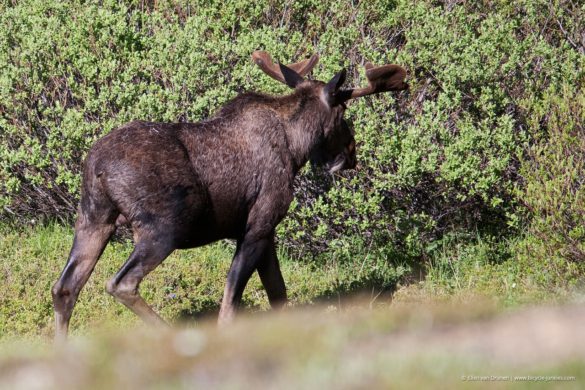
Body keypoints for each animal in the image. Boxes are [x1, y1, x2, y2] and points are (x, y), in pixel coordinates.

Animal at [51, 51, 406, 338]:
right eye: (343, 113)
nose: (352, 153)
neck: (296, 149)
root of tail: (96, 167)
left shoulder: (266, 232)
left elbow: (278, 292)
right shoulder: (258, 225)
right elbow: (231, 301)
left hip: (93, 219)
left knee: (64, 288)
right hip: (164, 228)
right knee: (120, 283)